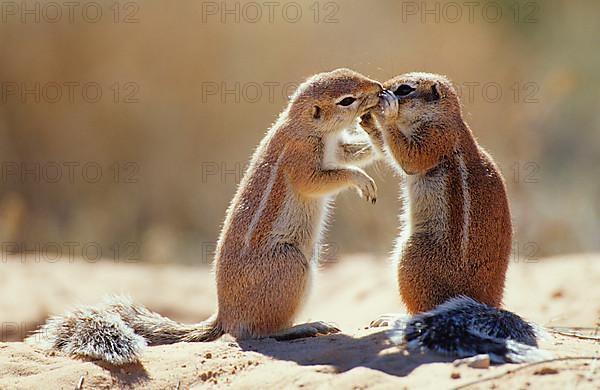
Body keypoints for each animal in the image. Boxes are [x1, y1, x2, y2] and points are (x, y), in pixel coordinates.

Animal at [27, 68, 384, 366]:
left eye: (355, 72)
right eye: (346, 100)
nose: (380, 89)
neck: (304, 124)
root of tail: (223, 315)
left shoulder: (339, 148)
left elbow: (355, 153)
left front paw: (379, 139)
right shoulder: (301, 158)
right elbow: (319, 180)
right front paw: (361, 180)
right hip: (291, 264)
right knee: (255, 332)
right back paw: (305, 326)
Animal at [360, 72, 548, 362]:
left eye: (404, 89)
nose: (380, 91)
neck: (444, 117)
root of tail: (484, 304)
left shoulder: (436, 139)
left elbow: (409, 157)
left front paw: (385, 111)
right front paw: (366, 121)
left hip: (412, 256)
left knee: (423, 309)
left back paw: (392, 318)